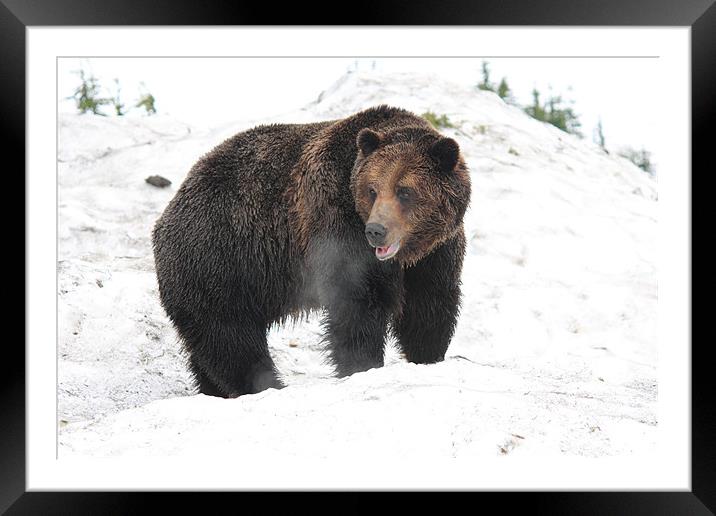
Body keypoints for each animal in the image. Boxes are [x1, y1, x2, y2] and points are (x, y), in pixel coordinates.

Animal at [152, 104, 470, 396]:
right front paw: (362, 366)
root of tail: (168, 212)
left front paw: (427, 357)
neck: (406, 254)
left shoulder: (436, 253)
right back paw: (267, 385)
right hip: (221, 263)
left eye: (405, 191)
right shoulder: (336, 224)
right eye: (372, 190)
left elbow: (429, 304)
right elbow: (358, 303)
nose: (376, 231)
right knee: (230, 339)